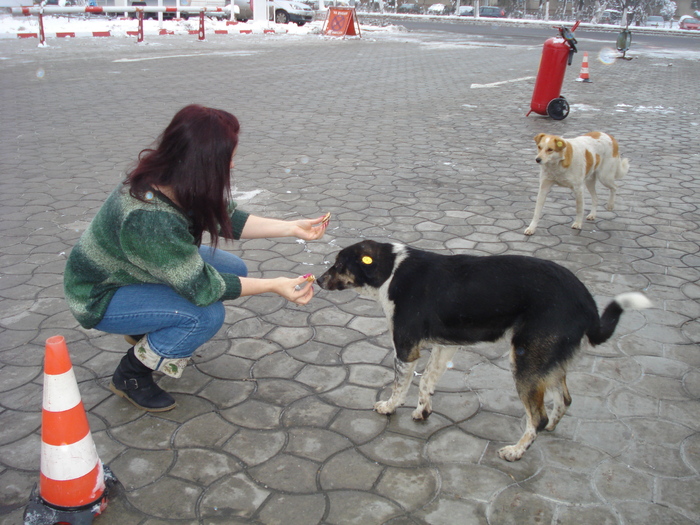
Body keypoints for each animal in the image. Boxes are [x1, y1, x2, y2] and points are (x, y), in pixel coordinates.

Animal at [318, 239, 652, 460]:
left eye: (338, 265)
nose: (318, 280)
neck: (390, 270)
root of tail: (586, 302)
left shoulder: (406, 349)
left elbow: (400, 386)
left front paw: (389, 407)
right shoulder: (444, 347)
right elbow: (427, 383)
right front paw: (423, 411)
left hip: (525, 361)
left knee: (538, 417)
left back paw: (516, 451)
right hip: (548, 361)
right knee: (564, 401)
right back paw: (549, 430)